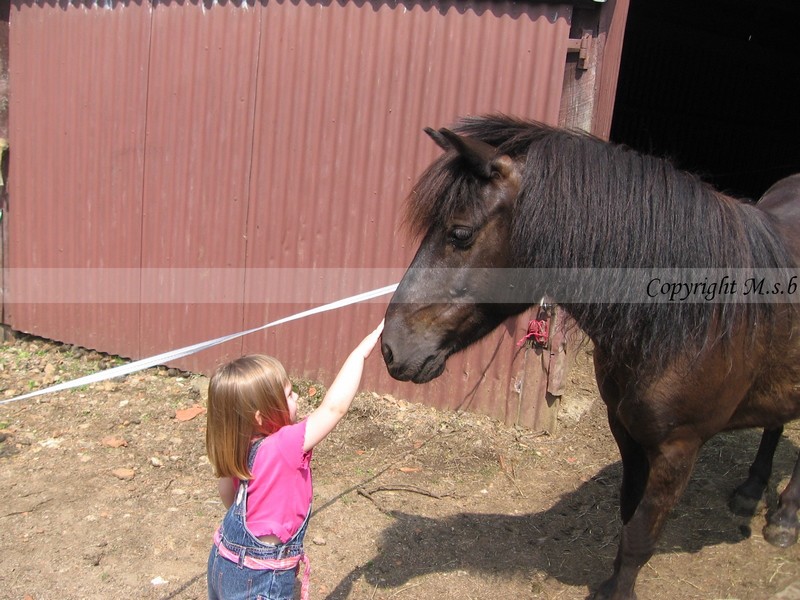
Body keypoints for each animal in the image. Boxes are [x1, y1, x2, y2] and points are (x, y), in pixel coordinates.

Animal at [382, 113, 800, 600]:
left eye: (460, 233)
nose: (390, 347)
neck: (681, 320)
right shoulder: (626, 428)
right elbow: (628, 514)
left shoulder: (679, 448)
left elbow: (640, 536)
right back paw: (751, 491)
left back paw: (785, 519)